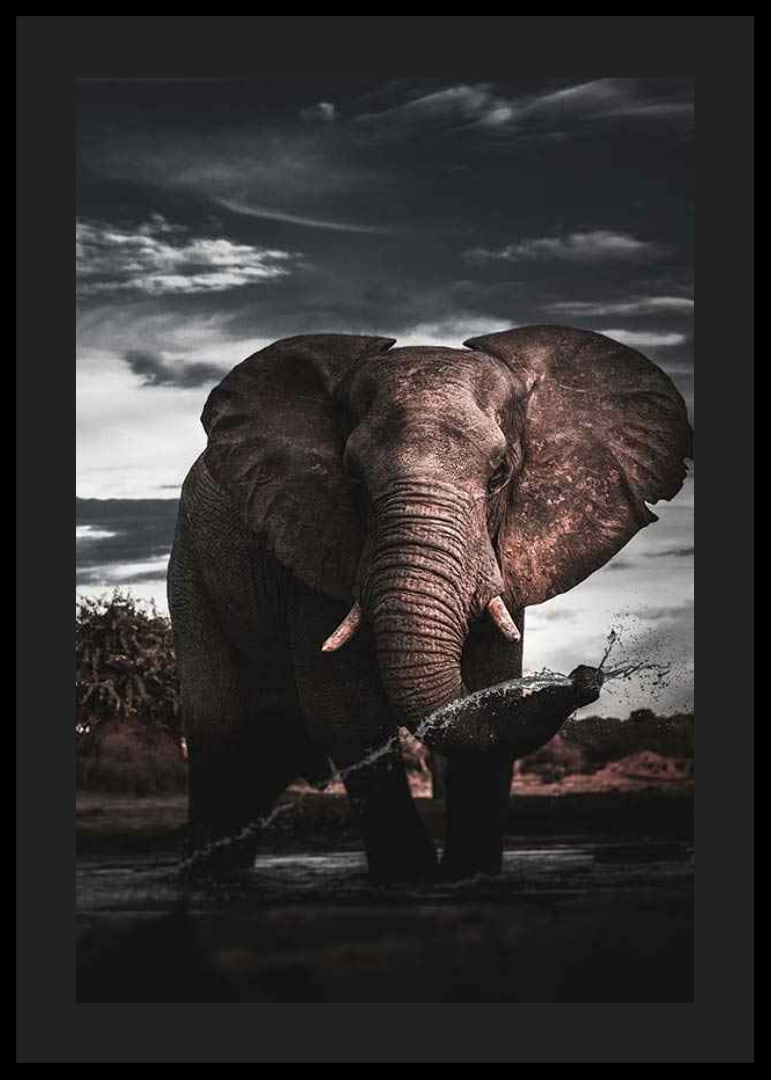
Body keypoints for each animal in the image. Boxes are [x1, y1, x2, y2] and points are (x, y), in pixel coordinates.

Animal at [167, 325, 692, 882]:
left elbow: (488, 687)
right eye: (352, 477)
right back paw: (208, 880)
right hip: (192, 570)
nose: (587, 676)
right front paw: (411, 878)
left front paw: (470, 875)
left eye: (501, 474)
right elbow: (347, 713)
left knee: (269, 749)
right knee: (221, 734)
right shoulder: (311, 544)